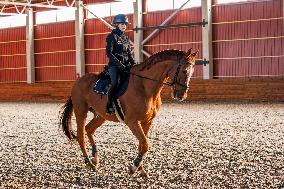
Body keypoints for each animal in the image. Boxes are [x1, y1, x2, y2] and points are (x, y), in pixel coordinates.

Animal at [59, 48, 199, 176]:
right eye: (184, 70)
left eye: (192, 72)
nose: (181, 95)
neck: (144, 87)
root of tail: (78, 81)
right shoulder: (132, 122)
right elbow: (145, 144)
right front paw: (134, 167)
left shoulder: (147, 121)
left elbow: (142, 145)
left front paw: (140, 170)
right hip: (81, 112)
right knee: (81, 136)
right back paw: (89, 162)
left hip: (101, 115)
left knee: (89, 129)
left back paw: (95, 158)